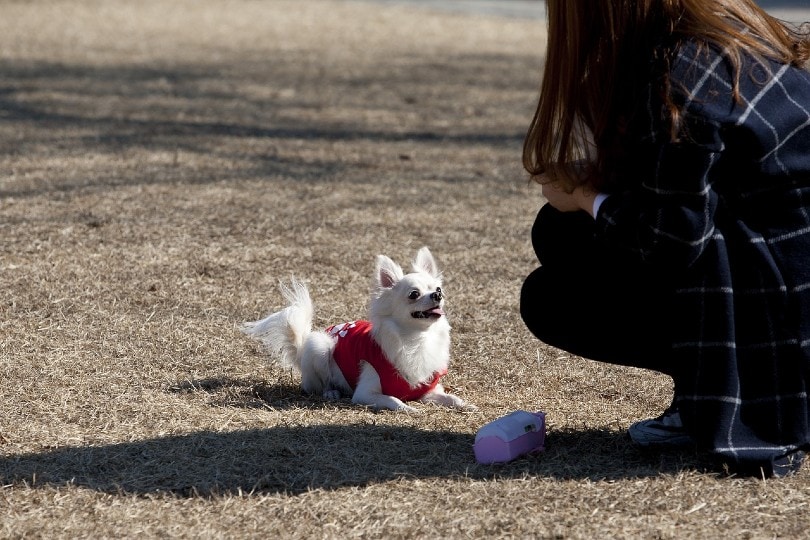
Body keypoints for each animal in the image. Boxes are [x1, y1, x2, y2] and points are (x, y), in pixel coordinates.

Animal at [240, 247, 470, 412]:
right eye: (414, 294)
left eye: (438, 289)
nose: (438, 295)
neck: (417, 338)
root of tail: (301, 349)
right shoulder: (364, 394)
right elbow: (393, 399)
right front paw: (408, 408)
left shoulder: (427, 391)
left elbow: (451, 397)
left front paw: (465, 404)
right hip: (320, 346)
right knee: (316, 386)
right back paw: (331, 393)